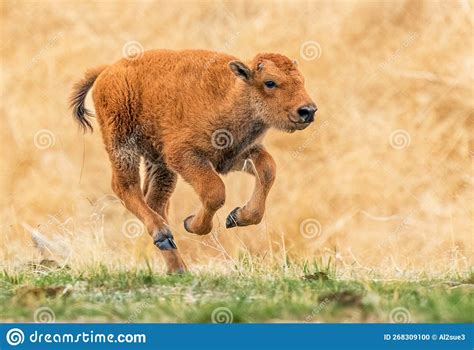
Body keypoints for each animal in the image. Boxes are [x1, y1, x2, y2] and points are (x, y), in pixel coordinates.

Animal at [69, 50, 314, 274]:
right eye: (270, 82)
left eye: (301, 80)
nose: (308, 111)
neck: (232, 94)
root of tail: (107, 71)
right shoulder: (185, 156)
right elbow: (215, 191)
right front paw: (191, 224)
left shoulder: (236, 156)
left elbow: (268, 170)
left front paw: (236, 217)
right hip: (123, 146)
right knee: (126, 188)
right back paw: (163, 236)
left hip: (159, 163)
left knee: (154, 201)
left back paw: (177, 267)